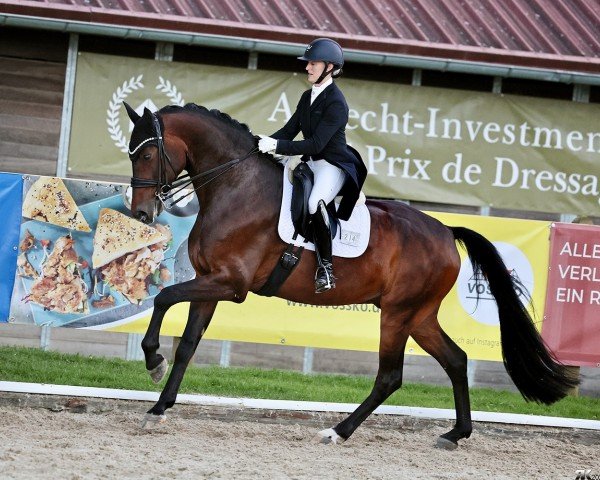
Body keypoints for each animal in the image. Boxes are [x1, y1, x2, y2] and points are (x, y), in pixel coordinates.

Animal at [122, 102, 576, 450]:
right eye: (131, 154)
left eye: (145, 155)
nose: (142, 213)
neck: (236, 186)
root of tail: (446, 232)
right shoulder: (210, 281)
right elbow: (188, 345)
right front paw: (158, 408)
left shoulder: (230, 284)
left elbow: (163, 298)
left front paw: (153, 360)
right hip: (419, 316)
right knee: (456, 360)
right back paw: (455, 434)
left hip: (397, 314)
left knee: (390, 376)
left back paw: (338, 431)